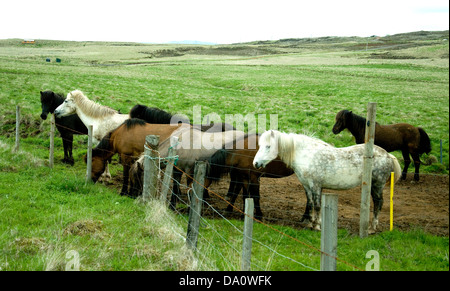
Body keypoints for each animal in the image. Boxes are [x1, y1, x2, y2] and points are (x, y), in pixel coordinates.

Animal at [253, 130, 400, 233]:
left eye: (268, 146)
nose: (256, 163)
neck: (307, 155)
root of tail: (388, 155)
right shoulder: (307, 186)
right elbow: (310, 203)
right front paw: (310, 223)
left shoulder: (316, 185)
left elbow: (317, 205)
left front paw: (317, 226)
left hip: (377, 185)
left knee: (378, 203)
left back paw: (372, 228)